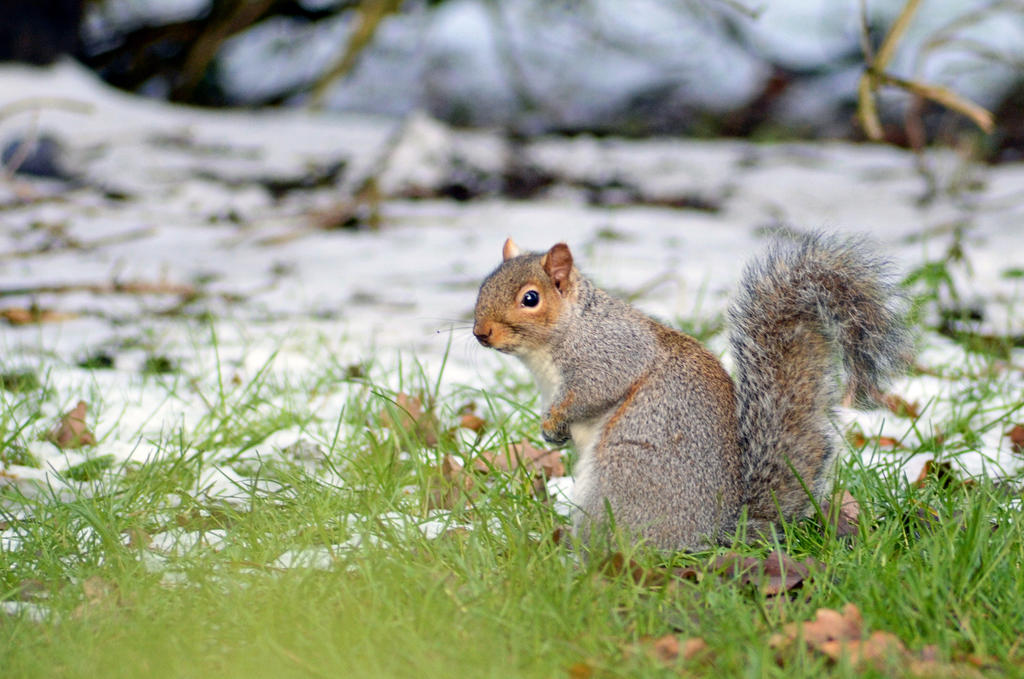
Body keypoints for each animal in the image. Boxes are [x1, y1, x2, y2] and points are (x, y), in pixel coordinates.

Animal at [473, 233, 913, 553]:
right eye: (483, 286)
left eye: (530, 298)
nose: (480, 333)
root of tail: (718, 532)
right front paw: (551, 428)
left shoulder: (610, 354)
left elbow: (594, 390)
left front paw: (556, 420)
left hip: (623, 473)